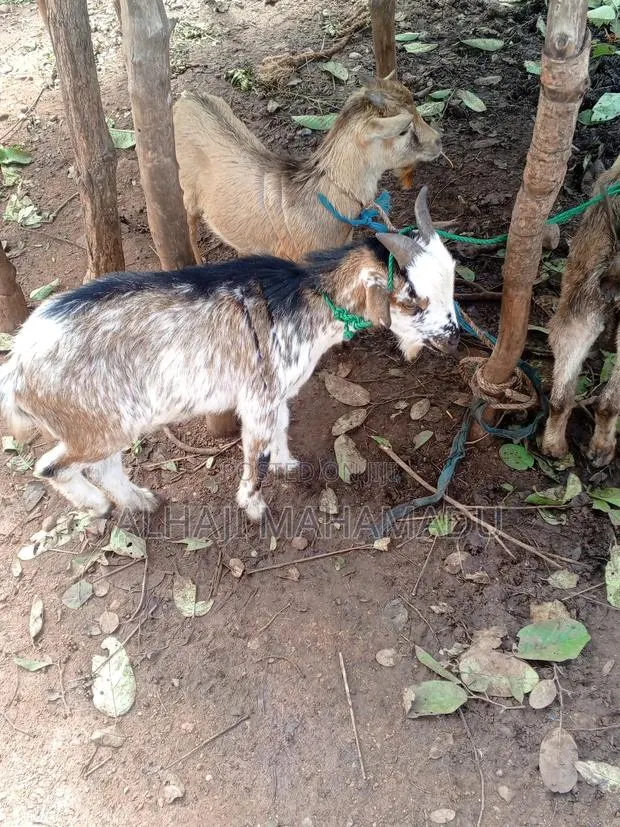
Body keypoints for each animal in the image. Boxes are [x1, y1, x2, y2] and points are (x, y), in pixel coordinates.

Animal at [1, 188, 458, 521]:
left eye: (452, 279)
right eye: (412, 296)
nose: (454, 338)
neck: (304, 298)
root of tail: (17, 367)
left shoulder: (276, 392)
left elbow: (282, 426)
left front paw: (286, 464)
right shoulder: (257, 398)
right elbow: (254, 451)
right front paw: (253, 505)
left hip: (109, 421)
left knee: (102, 465)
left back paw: (141, 501)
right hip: (93, 426)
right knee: (52, 466)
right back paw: (99, 506)